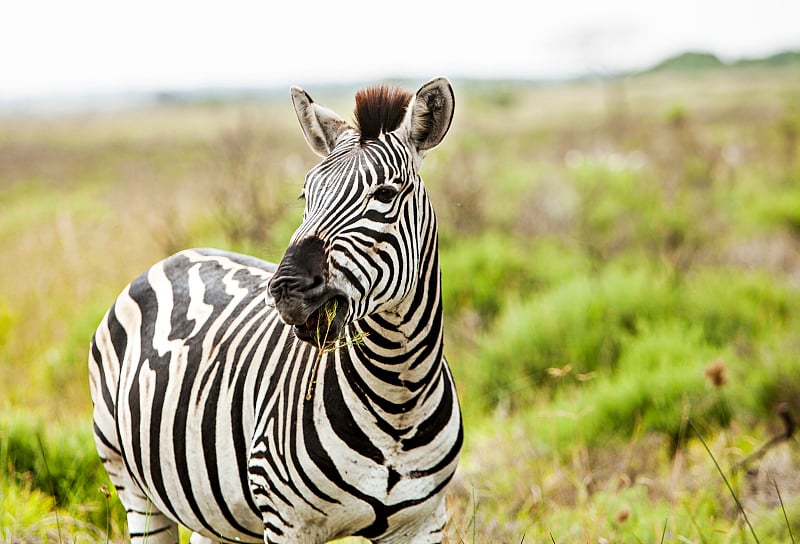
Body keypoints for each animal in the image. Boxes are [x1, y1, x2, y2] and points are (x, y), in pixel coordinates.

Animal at [87, 77, 462, 544]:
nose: (286, 289)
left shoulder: (423, 522)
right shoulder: (288, 522)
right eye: (306, 194)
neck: (399, 393)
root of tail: (176, 256)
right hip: (130, 482)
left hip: (214, 513)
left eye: (386, 194)